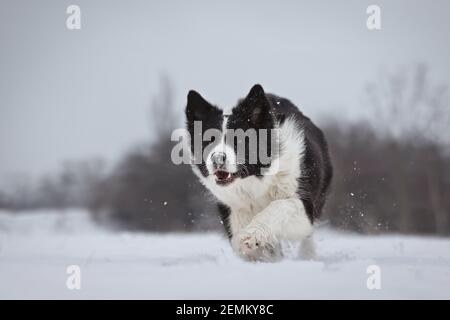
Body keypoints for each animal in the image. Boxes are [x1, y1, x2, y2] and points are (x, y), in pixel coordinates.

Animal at [185, 85, 332, 262]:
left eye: (239, 140)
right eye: (208, 141)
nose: (217, 158)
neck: (256, 182)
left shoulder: (303, 203)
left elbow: (279, 206)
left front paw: (252, 234)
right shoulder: (233, 209)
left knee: (307, 236)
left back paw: (308, 256)